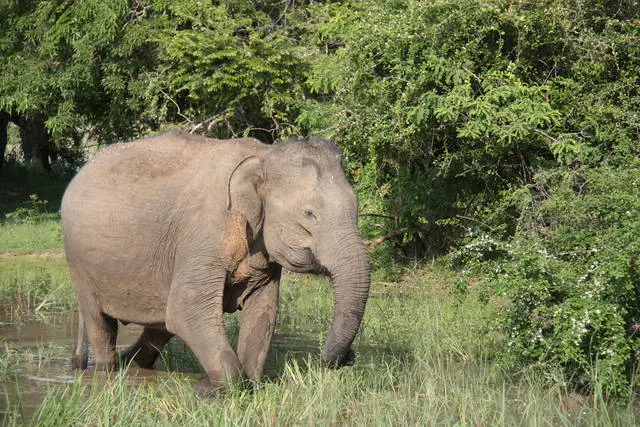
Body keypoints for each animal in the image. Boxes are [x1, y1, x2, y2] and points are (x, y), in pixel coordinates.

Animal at [61, 131, 370, 398]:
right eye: (309, 213)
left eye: (356, 206)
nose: (347, 357)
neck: (262, 156)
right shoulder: (204, 234)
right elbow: (187, 309)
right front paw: (208, 391)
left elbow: (263, 311)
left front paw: (249, 386)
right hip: (78, 261)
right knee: (100, 322)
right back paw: (107, 372)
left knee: (159, 326)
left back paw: (132, 364)